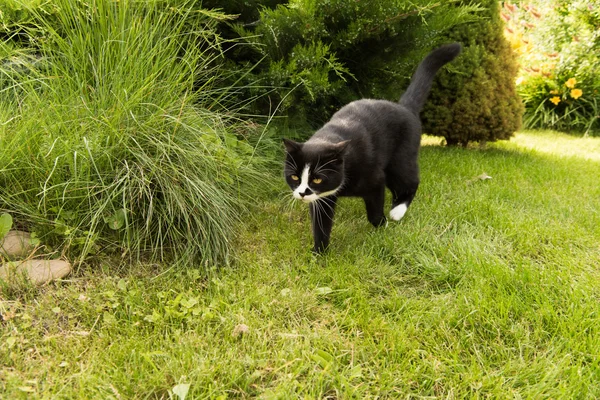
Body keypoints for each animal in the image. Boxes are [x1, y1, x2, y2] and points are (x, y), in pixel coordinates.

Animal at [284, 42, 462, 252]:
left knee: (410, 181)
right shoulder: (322, 199)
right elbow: (320, 224)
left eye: (317, 179)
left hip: (401, 159)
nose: (303, 193)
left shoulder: (375, 178)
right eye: (295, 177)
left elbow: (375, 208)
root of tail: (404, 107)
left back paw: (397, 211)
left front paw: (381, 223)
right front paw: (319, 251)